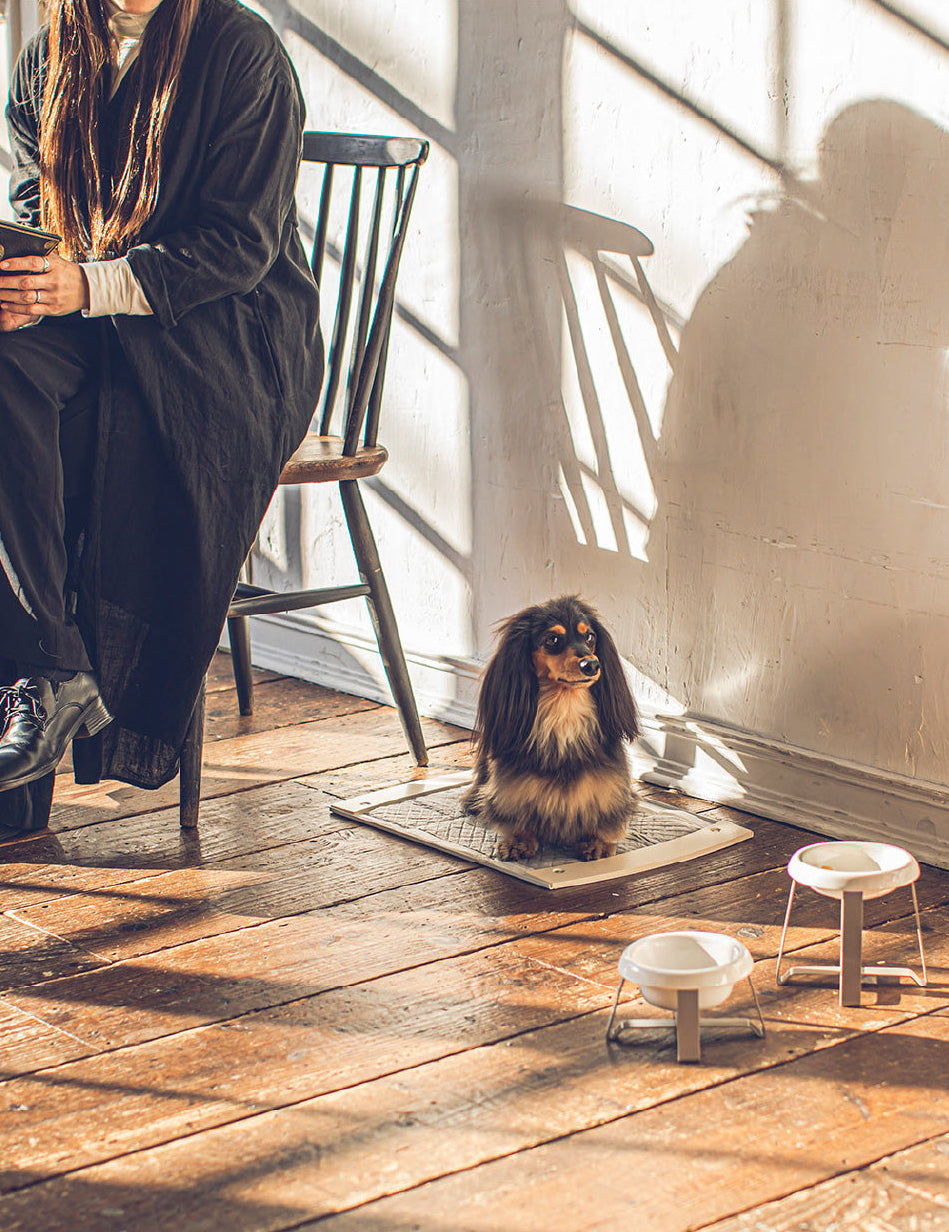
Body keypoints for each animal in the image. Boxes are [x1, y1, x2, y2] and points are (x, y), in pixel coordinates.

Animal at [463, 595, 639, 861]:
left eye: (590, 637)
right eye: (552, 640)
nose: (591, 665)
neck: (564, 711)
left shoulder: (609, 780)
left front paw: (597, 842)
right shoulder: (511, 783)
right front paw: (520, 841)